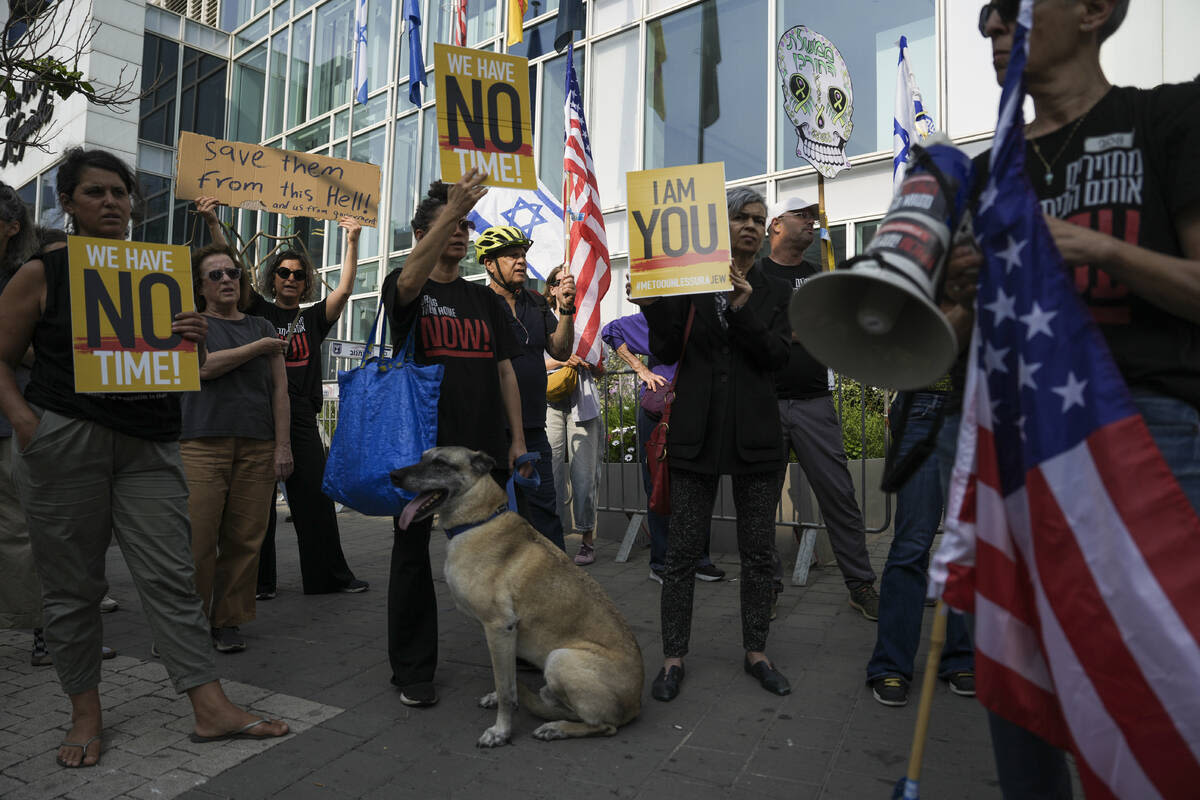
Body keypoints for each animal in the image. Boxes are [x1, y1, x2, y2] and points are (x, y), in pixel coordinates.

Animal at [388, 448, 643, 748]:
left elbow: (506, 689)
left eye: (441, 463)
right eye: (422, 456)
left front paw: (501, 731)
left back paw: (556, 727)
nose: (392, 475)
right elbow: (507, 681)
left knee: (603, 725)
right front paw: (501, 702)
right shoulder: (506, 637)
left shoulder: (499, 628)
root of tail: (636, 704)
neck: (477, 520)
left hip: (560, 658)